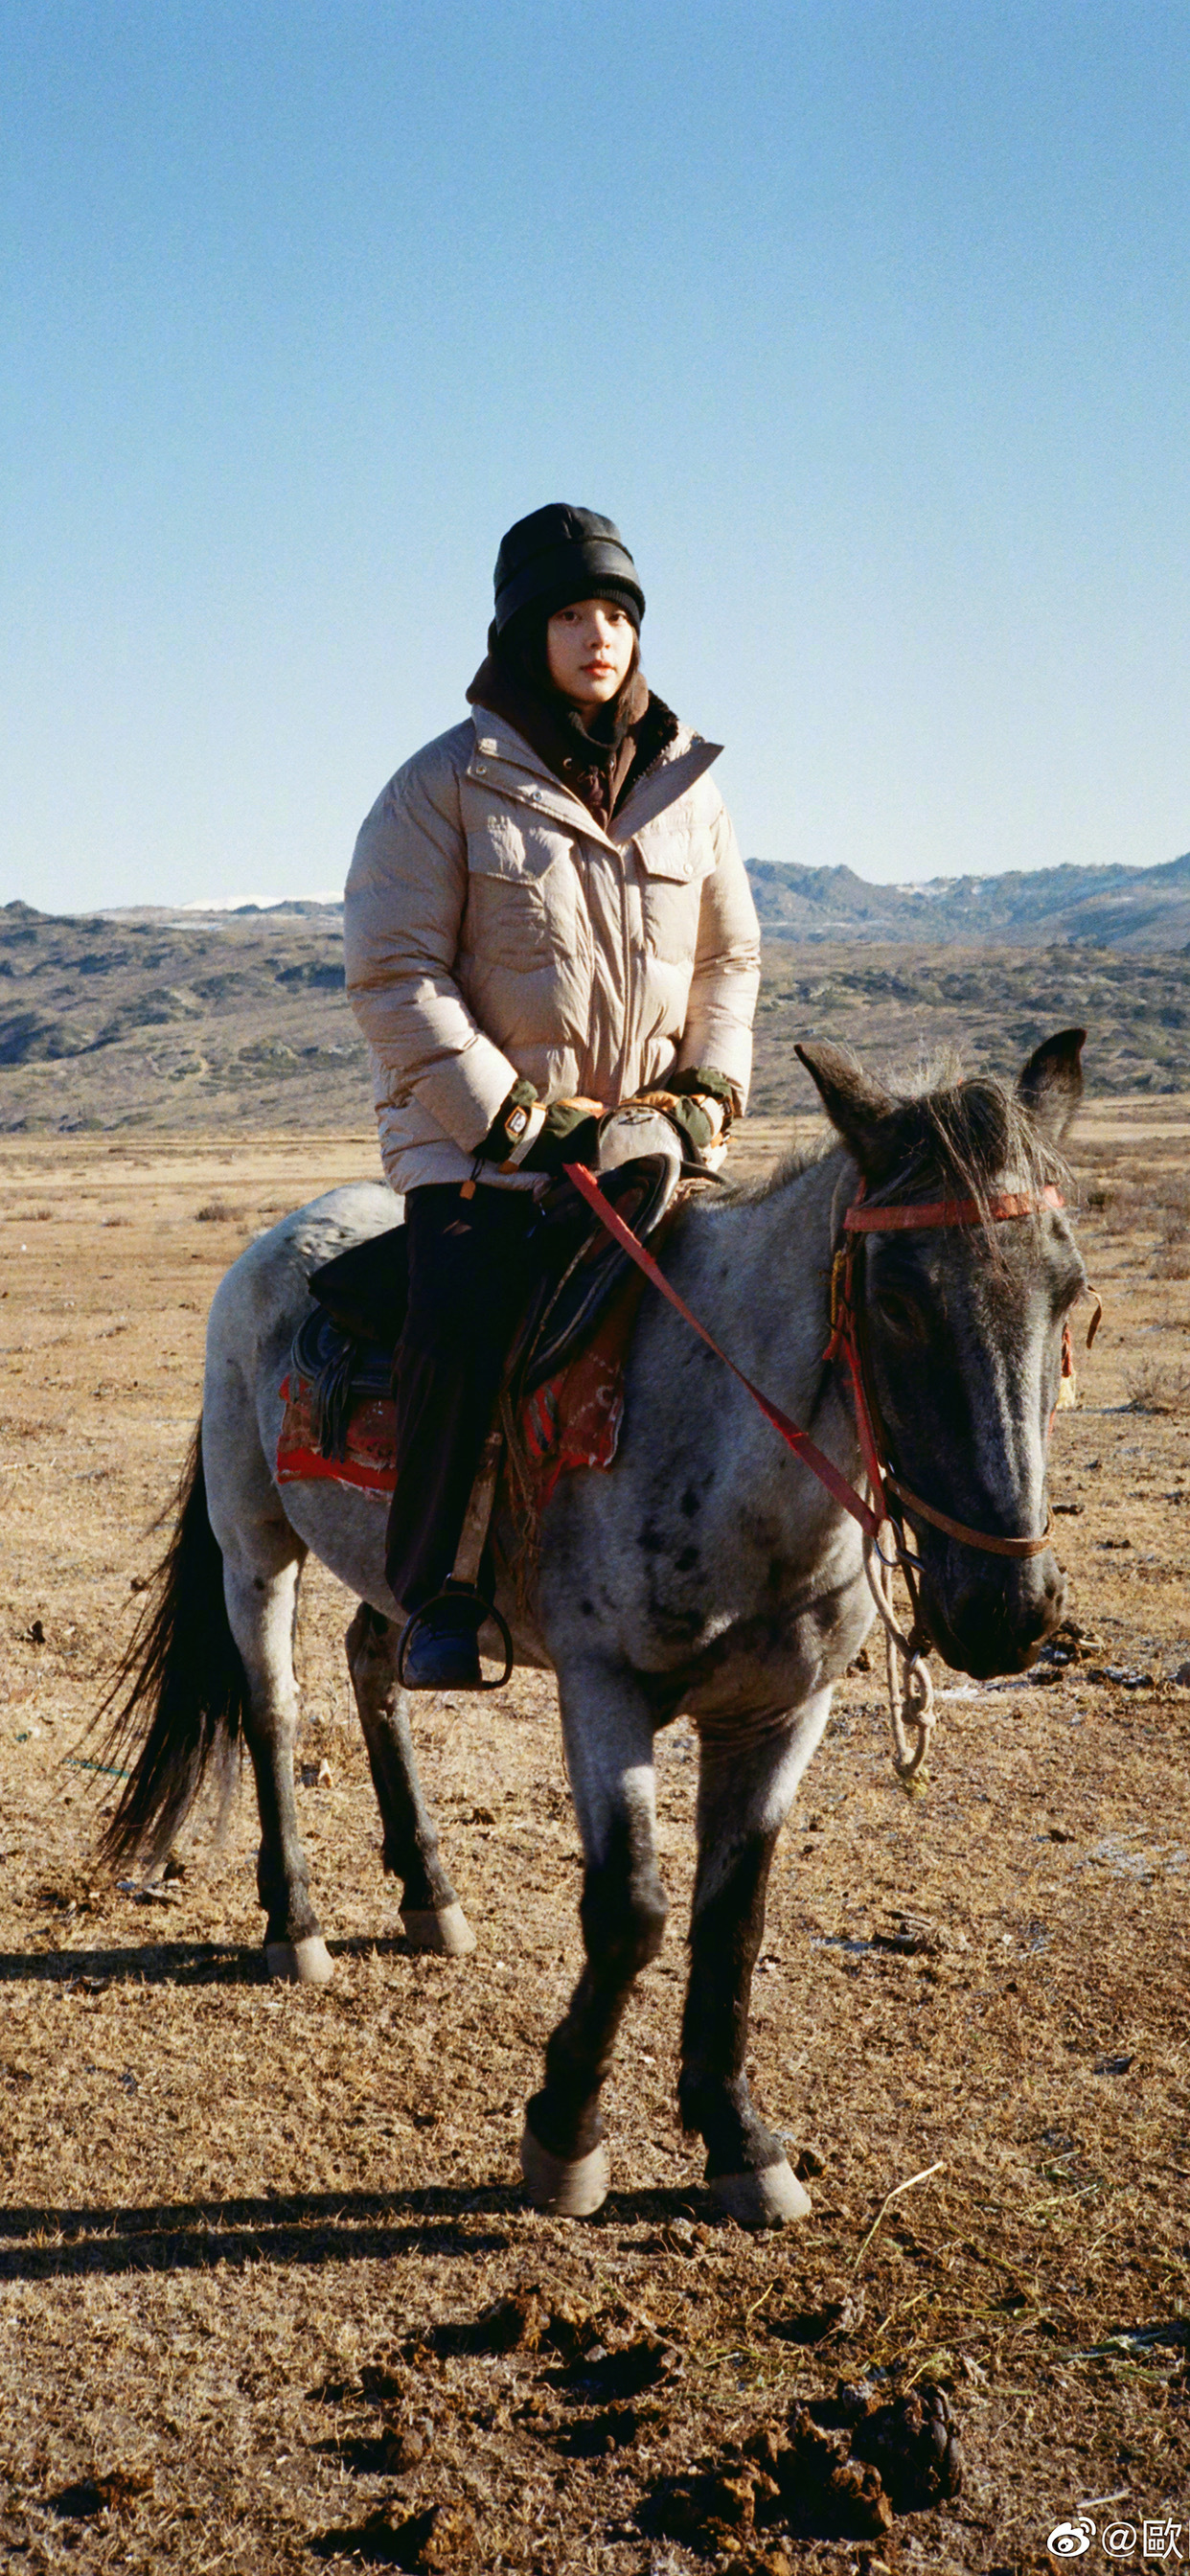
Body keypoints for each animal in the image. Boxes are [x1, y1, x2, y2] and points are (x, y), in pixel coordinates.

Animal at [100, 1035, 1087, 2225]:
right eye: (896, 1300)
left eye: (1071, 1291)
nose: (1007, 1611)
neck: (721, 1433)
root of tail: (274, 1244)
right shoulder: (603, 1689)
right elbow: (632, 1913)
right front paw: (565, 2129)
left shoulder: (782, 1712)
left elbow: (733, 1916)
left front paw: (739, 2136)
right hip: (255, 1545)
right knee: (273, 1709)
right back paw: (294, 1923)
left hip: (403, 1561)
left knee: (374, 1666)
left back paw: (429, 1892)